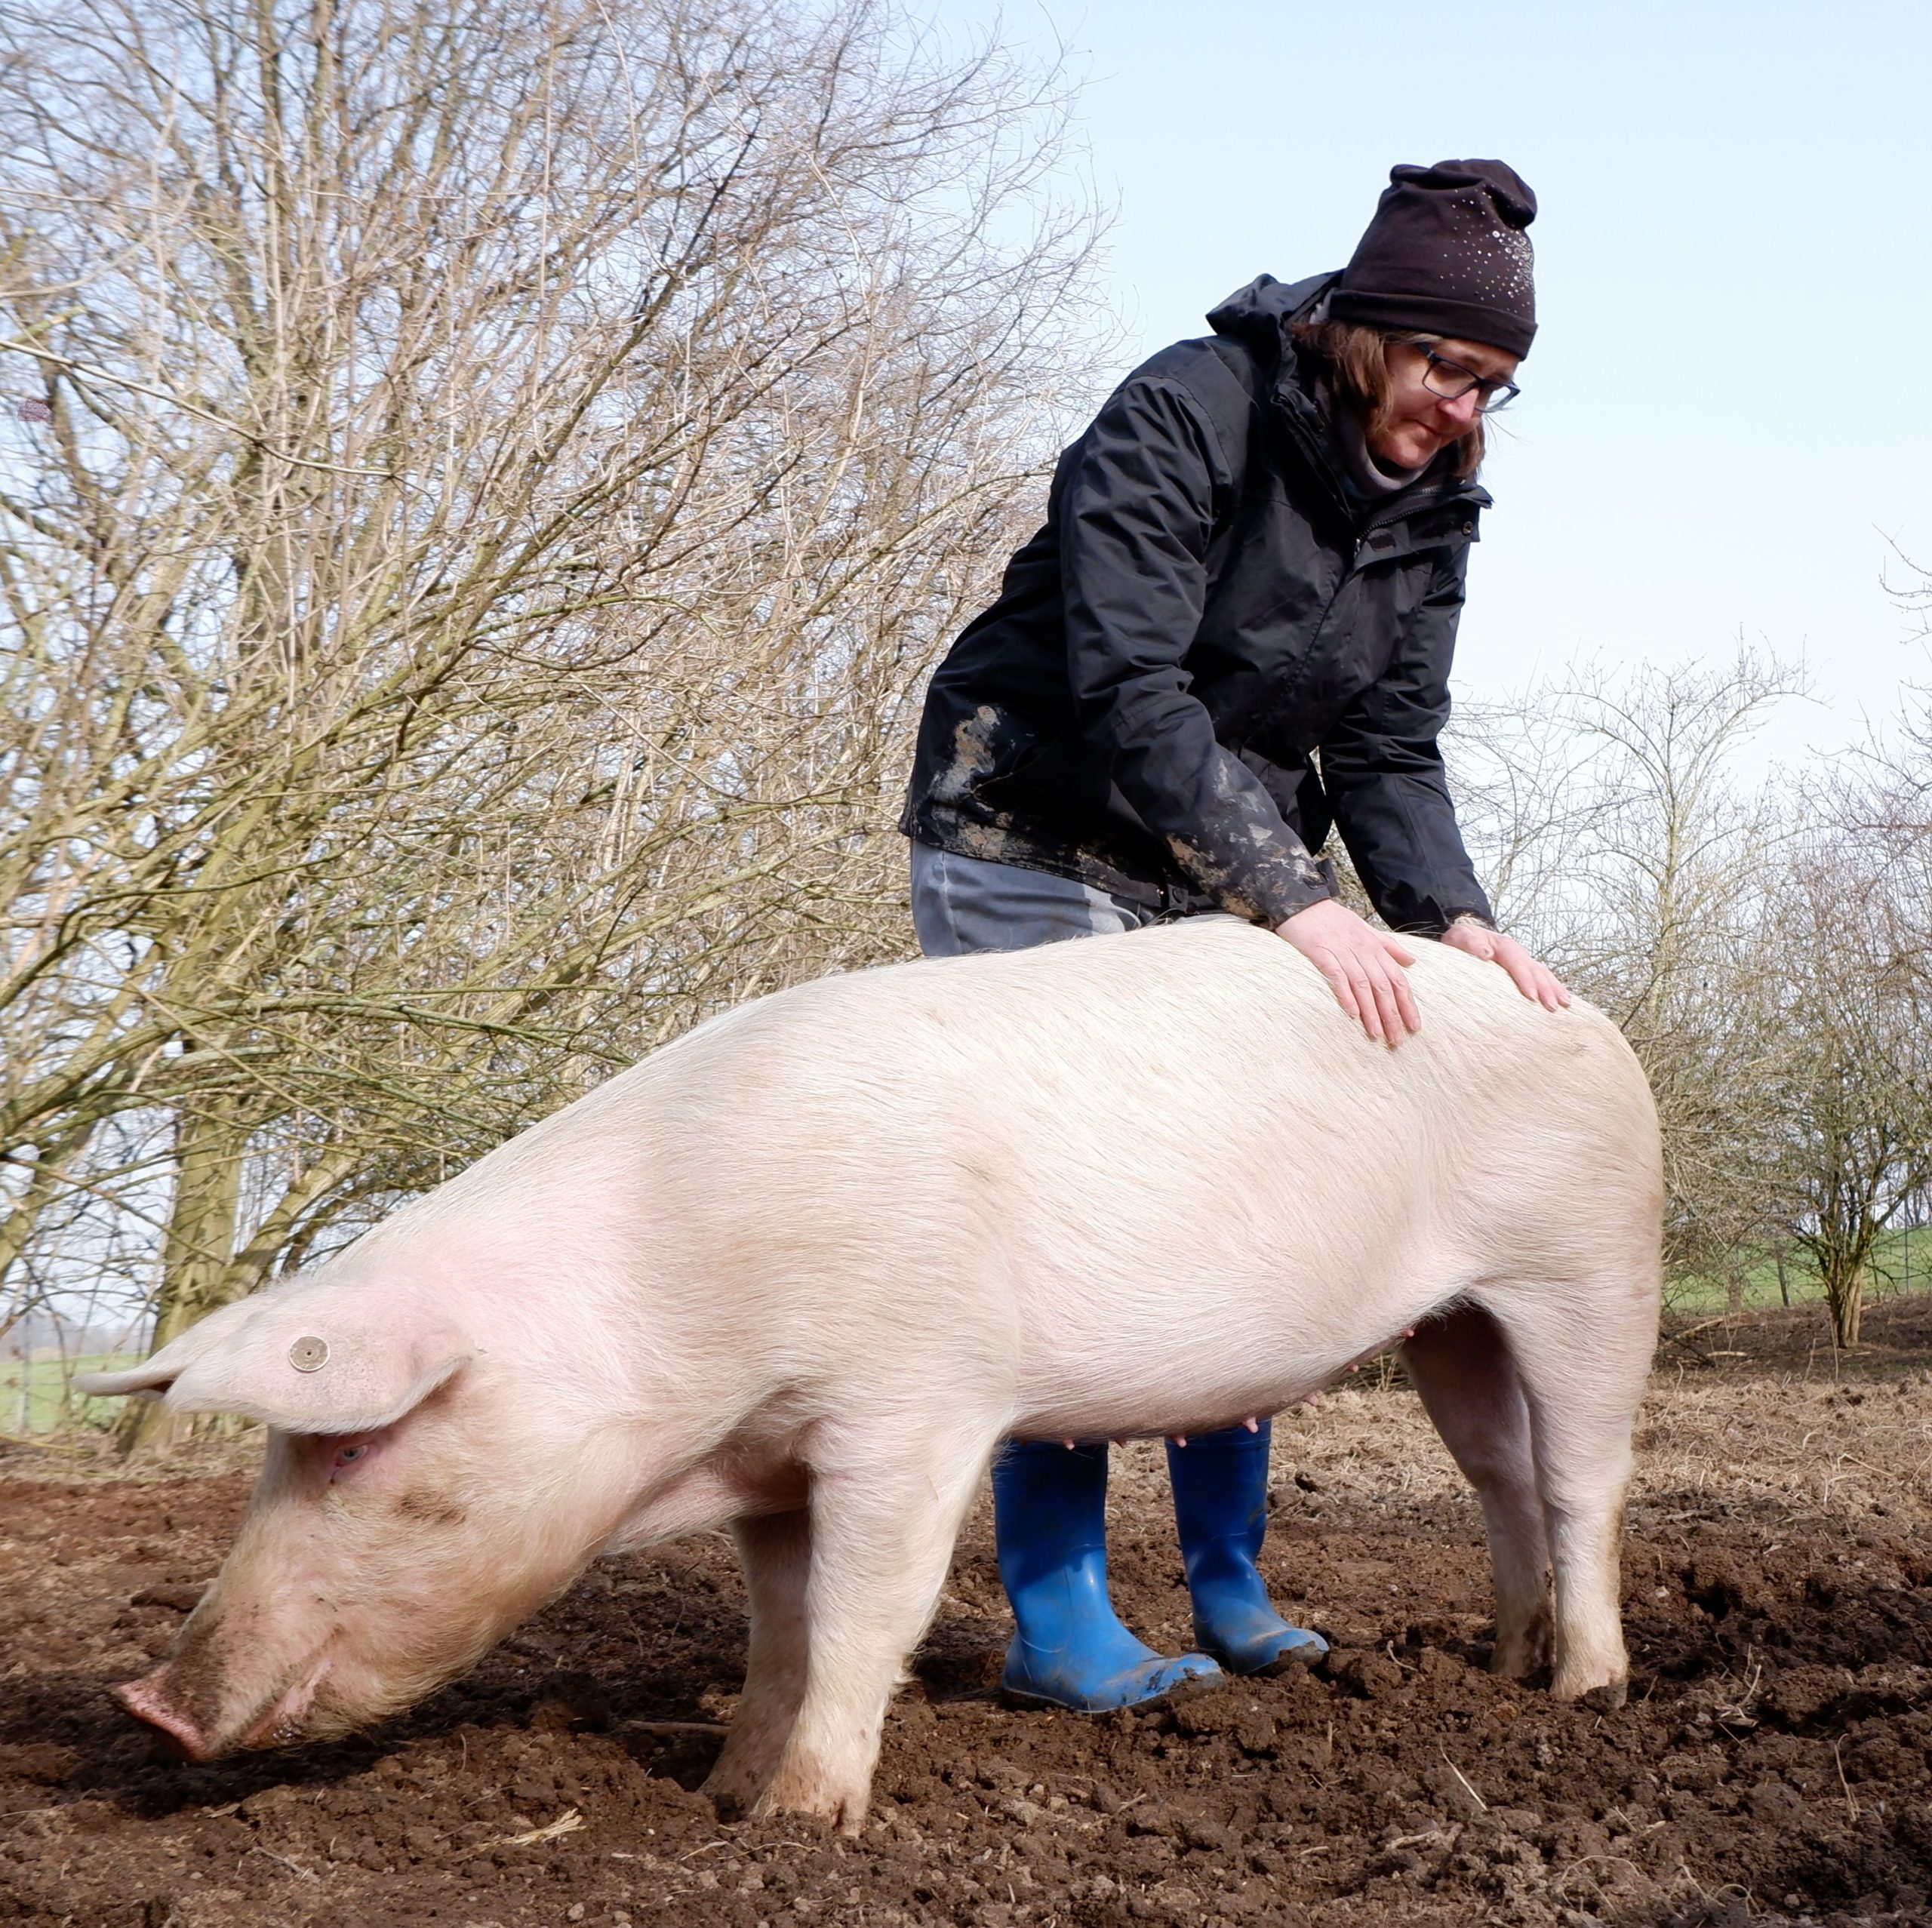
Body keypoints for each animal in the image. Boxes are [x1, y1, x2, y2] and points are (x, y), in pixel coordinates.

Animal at [83, 919, 1661, 1839]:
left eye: (354, 1449)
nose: (148, 1705)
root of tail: (1589, 1015)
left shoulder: (910, 1403)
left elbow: (860, 1615)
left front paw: (800, 1829)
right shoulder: (771, 1463)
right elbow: (776, 1625)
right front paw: (724, 1796)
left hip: (1590, 1265)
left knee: (1584, 1478)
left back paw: (1588, 1693)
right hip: (1453, 1320)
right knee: (1502, 1475)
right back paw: (1504, 1666)